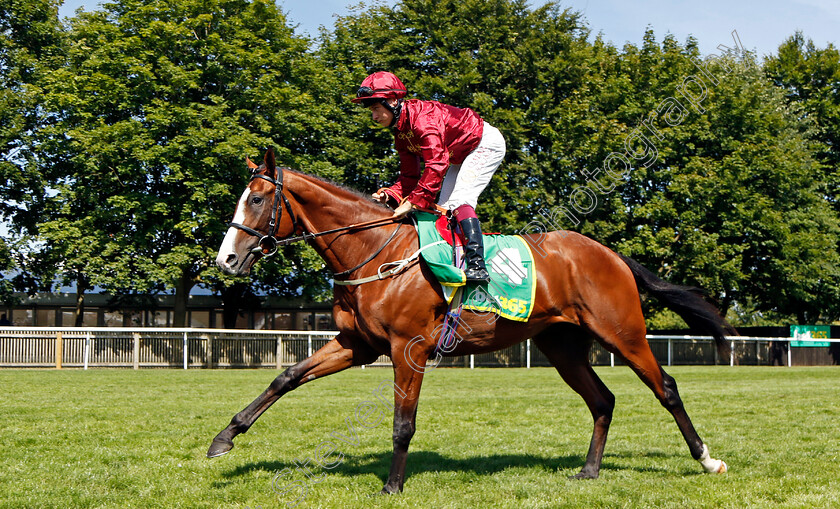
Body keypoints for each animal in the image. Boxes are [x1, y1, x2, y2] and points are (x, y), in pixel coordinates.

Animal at [210, 147, 736, 492]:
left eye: (256, 200)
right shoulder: (357, 343)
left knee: (666, 387)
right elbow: (285, 377)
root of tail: (611, 254)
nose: (227, 260)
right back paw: (589, 471)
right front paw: (224, 437)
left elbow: (403, 422)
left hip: (622, 332)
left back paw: (707, 460)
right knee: (602, 399)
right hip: (561, 345)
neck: (373, 251)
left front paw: (392, 486)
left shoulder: (408, 348)